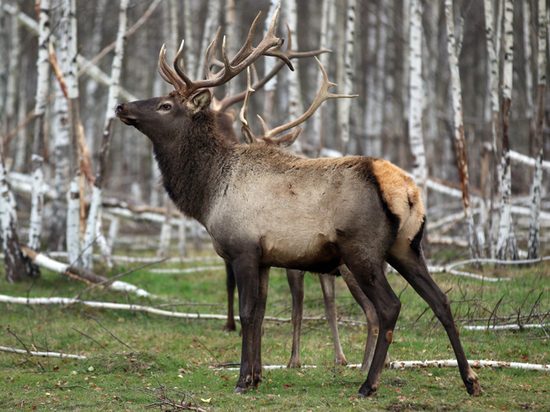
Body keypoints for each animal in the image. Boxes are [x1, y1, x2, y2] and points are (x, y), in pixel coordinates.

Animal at [116, 8, 484, 396]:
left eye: (165, 105)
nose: (121, 106)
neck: (208, 193)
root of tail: (403, 187)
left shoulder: (244, 249)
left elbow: (247, 313)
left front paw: (243, 380)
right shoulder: (265, 258)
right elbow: (260, 314)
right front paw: (257, 375)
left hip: (362, 249)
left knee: (389, 306)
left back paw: (368, 384)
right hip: (408, 246)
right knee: (441, 300)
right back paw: (470, 380)